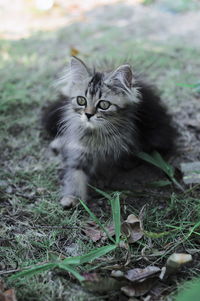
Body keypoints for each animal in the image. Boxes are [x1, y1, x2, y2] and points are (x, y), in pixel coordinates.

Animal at [42, 55, 177, 206]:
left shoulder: (119, 149)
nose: (88, 115)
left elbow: (110, 166)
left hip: (156, 134)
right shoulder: (79, 149)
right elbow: (74, 173)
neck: (95, 133)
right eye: (81, 101)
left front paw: (102, 179)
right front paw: (72, 196)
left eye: (104, 105)